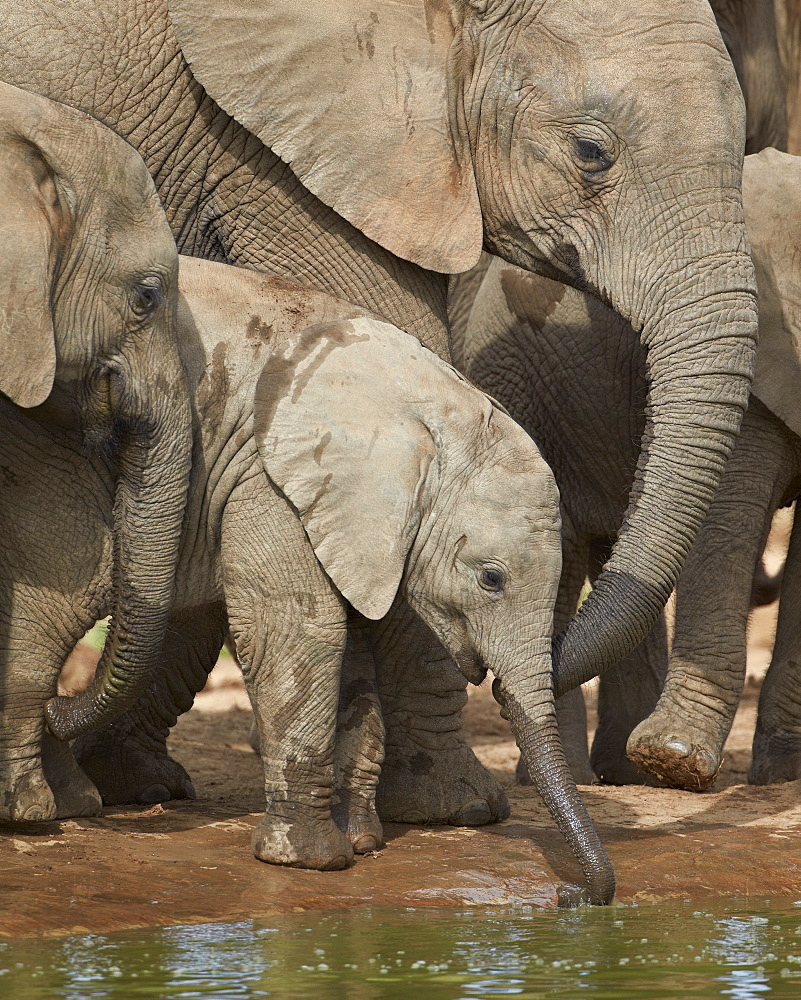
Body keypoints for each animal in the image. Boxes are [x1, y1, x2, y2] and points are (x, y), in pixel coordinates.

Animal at [45, 258, 612, 908]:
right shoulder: (268, 478)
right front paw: (313, 860)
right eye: (490, 579)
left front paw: (361, 840)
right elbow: (303, 629)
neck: (432, 406)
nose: (569, 897)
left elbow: (354, 646)